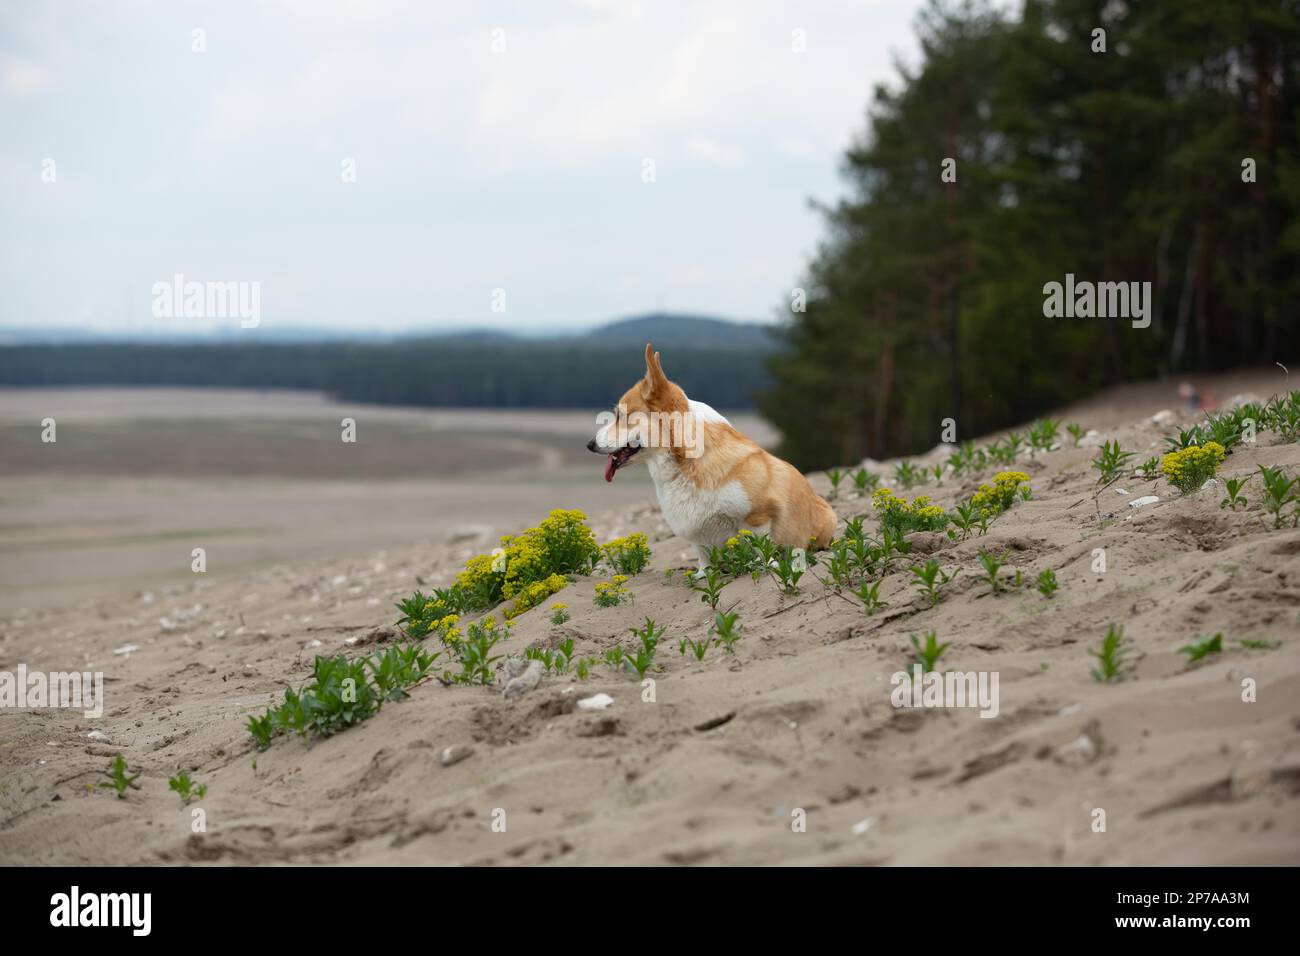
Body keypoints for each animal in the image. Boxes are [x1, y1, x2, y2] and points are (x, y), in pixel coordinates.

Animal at [587, 343, 837, 572]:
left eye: (621, 416)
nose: (589, 445)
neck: (686, 463)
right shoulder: (696, 531)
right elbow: (702, 553)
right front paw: (704, 574)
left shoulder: (759, 515)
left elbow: (760, 545)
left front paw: (764, 564)